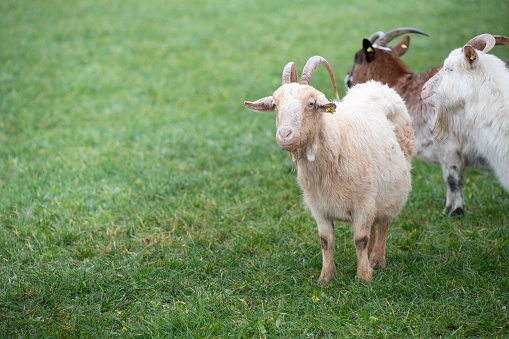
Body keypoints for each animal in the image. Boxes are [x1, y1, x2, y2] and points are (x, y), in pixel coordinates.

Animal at [244, 55, 414, 282]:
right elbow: (326, 241)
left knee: (383, 225)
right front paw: (326, 277)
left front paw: (364, 276)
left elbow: (360, 239)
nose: (285, 136)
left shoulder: (364, 204)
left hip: (392, 192)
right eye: (275, 104)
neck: (338, 143)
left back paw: (377, 259)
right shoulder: (320, 208)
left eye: (310, 104)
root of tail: (376, 85)